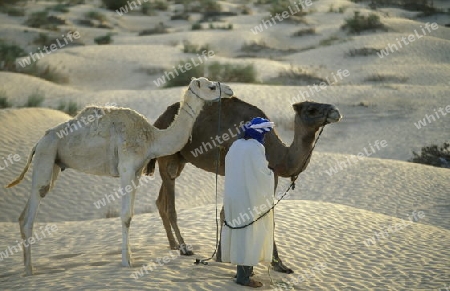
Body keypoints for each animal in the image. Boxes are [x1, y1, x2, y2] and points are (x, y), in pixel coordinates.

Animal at [5, 77, 234, 276]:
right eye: (212, 86)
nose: (230, 90)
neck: (152, 138)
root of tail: (38, 143)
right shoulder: (126, 168)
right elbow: (125, 215)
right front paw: (126, 262)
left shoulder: (137, 172)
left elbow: (130, 214)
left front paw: (130, 257)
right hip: (46, 156)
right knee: (31, 211)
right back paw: (30, 270)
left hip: (54, 164)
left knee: (24, 215)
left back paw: (27, 267)